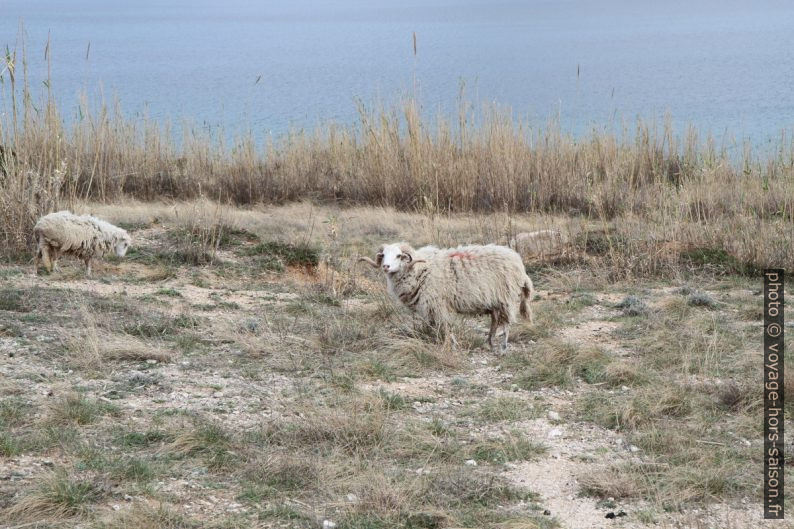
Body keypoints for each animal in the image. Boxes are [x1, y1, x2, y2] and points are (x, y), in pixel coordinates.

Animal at [358, 243, 532, 350]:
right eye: (383, 255)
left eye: (399, 256)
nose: (385, 266)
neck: (419, 269)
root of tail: (518, 261)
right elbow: (437, 327)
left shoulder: (438, 305)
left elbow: (445, 327)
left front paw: (451, 345)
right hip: (494, 300)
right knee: (495, 320)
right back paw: (489, 342)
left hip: (505, 297)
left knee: (507, 323)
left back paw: (503, 347)